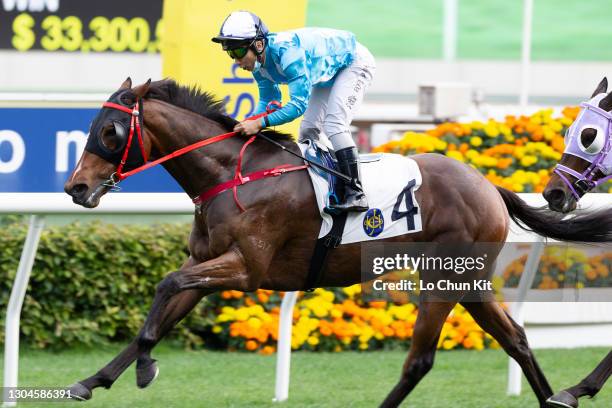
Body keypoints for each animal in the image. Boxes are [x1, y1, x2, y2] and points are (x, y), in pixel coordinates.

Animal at [63, 78, 612, 406]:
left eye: (110, 131)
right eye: (90, 127)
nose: (76, 188)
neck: (231, 174)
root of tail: (487, 185)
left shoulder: (245, 268)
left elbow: (165, 286)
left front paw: (145, 368)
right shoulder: (209, 264)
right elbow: (159, 313)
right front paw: (90, 381)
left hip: (443, 278)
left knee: (421, 360)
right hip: (470, 282)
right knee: (516, 339)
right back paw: (555, 396)